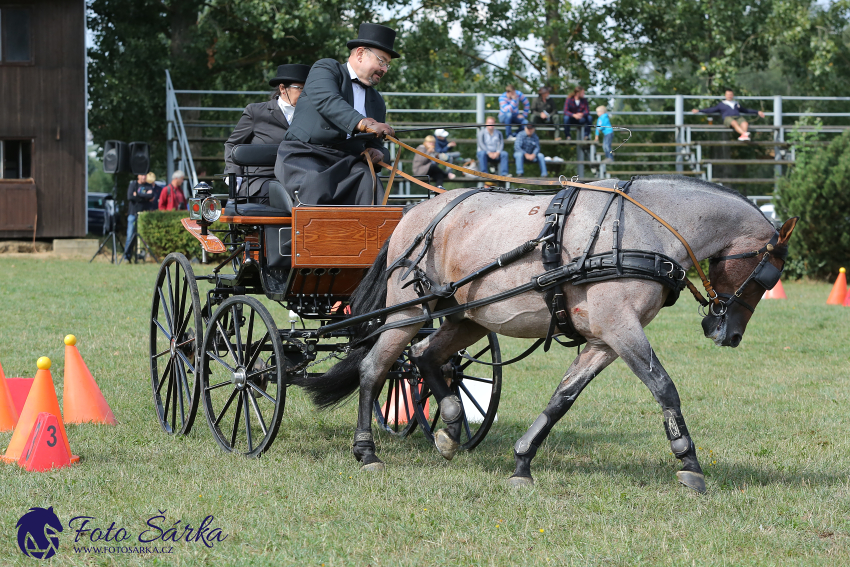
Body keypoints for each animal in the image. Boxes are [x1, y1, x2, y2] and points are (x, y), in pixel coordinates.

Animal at [296, 176, 796, 492]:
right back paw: (366, 452)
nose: (727, 334)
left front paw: (522, 462)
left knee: (424, 356)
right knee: (375, 367)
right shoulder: (621, 327)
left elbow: (562, 399)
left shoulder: (603, 340)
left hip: (467, 318)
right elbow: (663, 387)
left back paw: (452, 427)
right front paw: (688, 461)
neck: (642, 229)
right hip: (409, 309)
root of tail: (414, 212)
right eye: (767, 277)